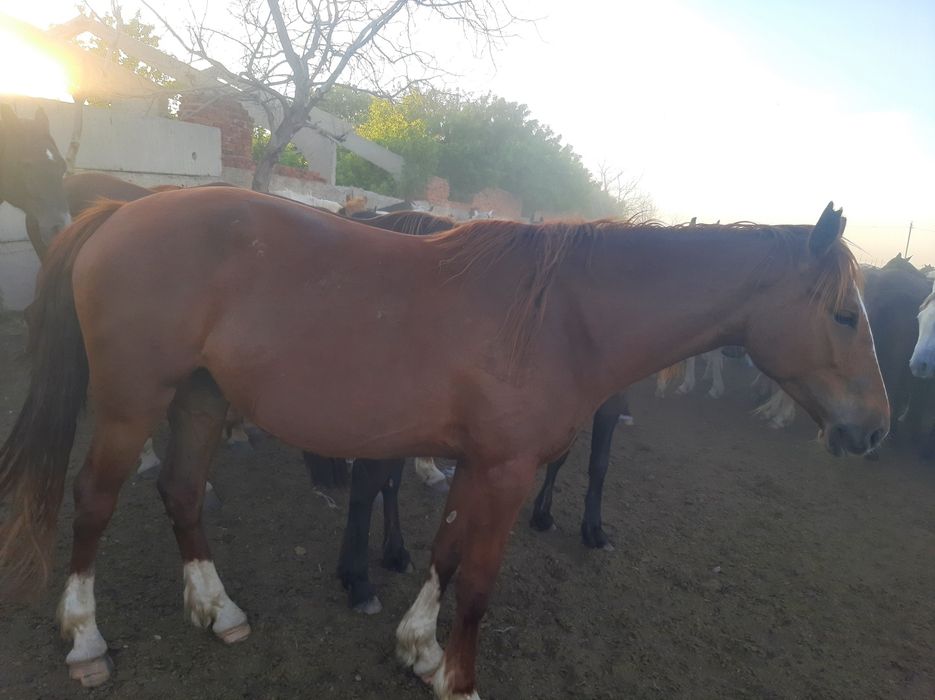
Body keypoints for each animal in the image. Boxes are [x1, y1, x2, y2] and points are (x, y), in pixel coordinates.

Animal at [0, 194, 888, 698]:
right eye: (846, 314)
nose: (876, 428)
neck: (564, 316)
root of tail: (124, 210)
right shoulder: (506, 469)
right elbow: (480, 582)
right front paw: (457, 680)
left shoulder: (477, 464)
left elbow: (445, 555)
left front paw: (417, 650)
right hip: (131, 403)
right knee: (95, 502)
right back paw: (84, 637)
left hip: (199, 398)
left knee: (181, 492)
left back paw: (217, 610)